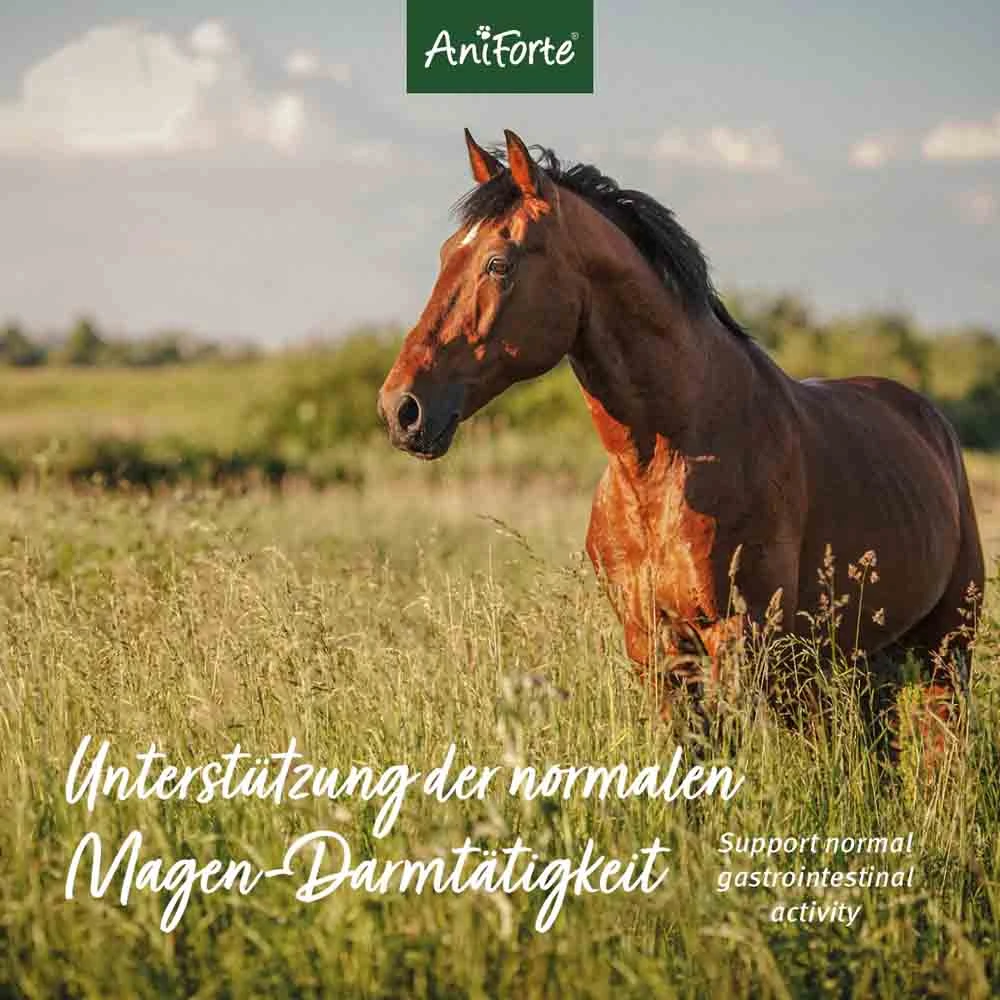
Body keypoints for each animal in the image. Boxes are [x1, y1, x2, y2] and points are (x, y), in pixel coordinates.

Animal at [377, 128, 984, 750]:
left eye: (498, 263)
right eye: (447, 254)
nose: (401, 409)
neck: (667, 463)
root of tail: (928, 420)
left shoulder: (741, 638)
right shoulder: (652, 644)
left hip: (944, 648)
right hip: (864, 660)